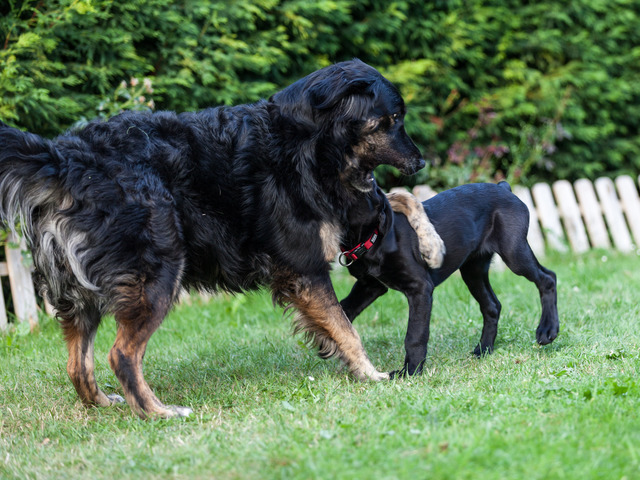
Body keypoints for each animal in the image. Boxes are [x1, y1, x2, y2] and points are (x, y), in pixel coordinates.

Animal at [2, 59, 428, 416]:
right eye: (392, 119)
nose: (422, 161)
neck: (309, 142)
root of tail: (68, 160)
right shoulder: (305, 270)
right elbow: (346, 329)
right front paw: (372, 375)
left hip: (81, 293)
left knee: (78, 363)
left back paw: (105, 403)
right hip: (158, 274)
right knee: (121, 355)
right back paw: (158, 413)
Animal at [340, 180, 560, 376]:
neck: (374, 238)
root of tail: (503, 187)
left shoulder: (420, 288)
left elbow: (415, 334)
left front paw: (411, 372)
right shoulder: (370, 285)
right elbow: (343, 310)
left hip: (514, 252)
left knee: (548, 278)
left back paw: (547, 330)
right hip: (473, 270)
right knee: (492, 305)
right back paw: (484, 349)